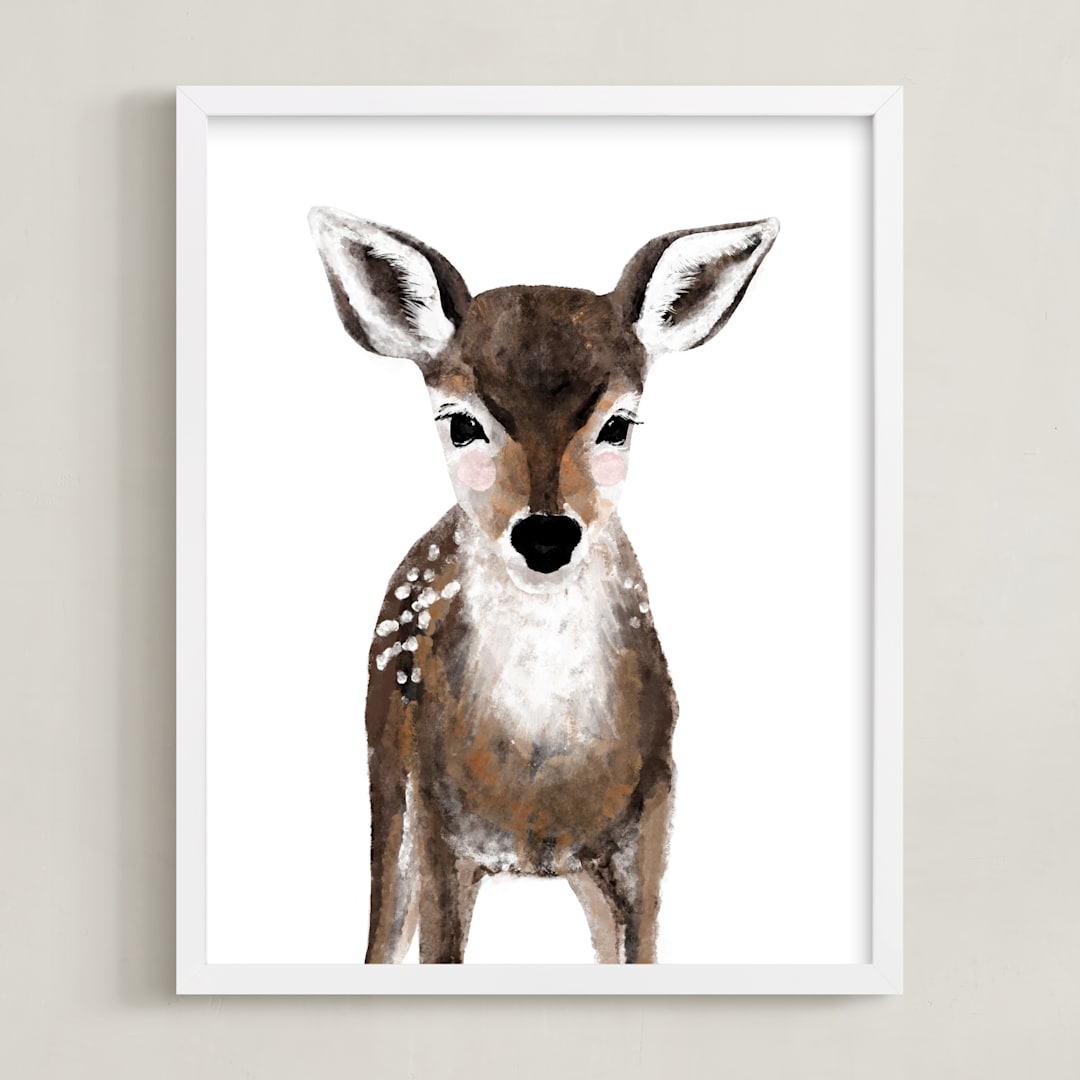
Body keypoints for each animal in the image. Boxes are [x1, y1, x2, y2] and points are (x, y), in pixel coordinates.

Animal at [308, 207, 779, 963]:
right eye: (461, 422)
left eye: (618, 424)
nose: (547, 536)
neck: (542, 771)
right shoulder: (438, 819)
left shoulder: (652, 812)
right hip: (386, 764)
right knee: (382, 931)